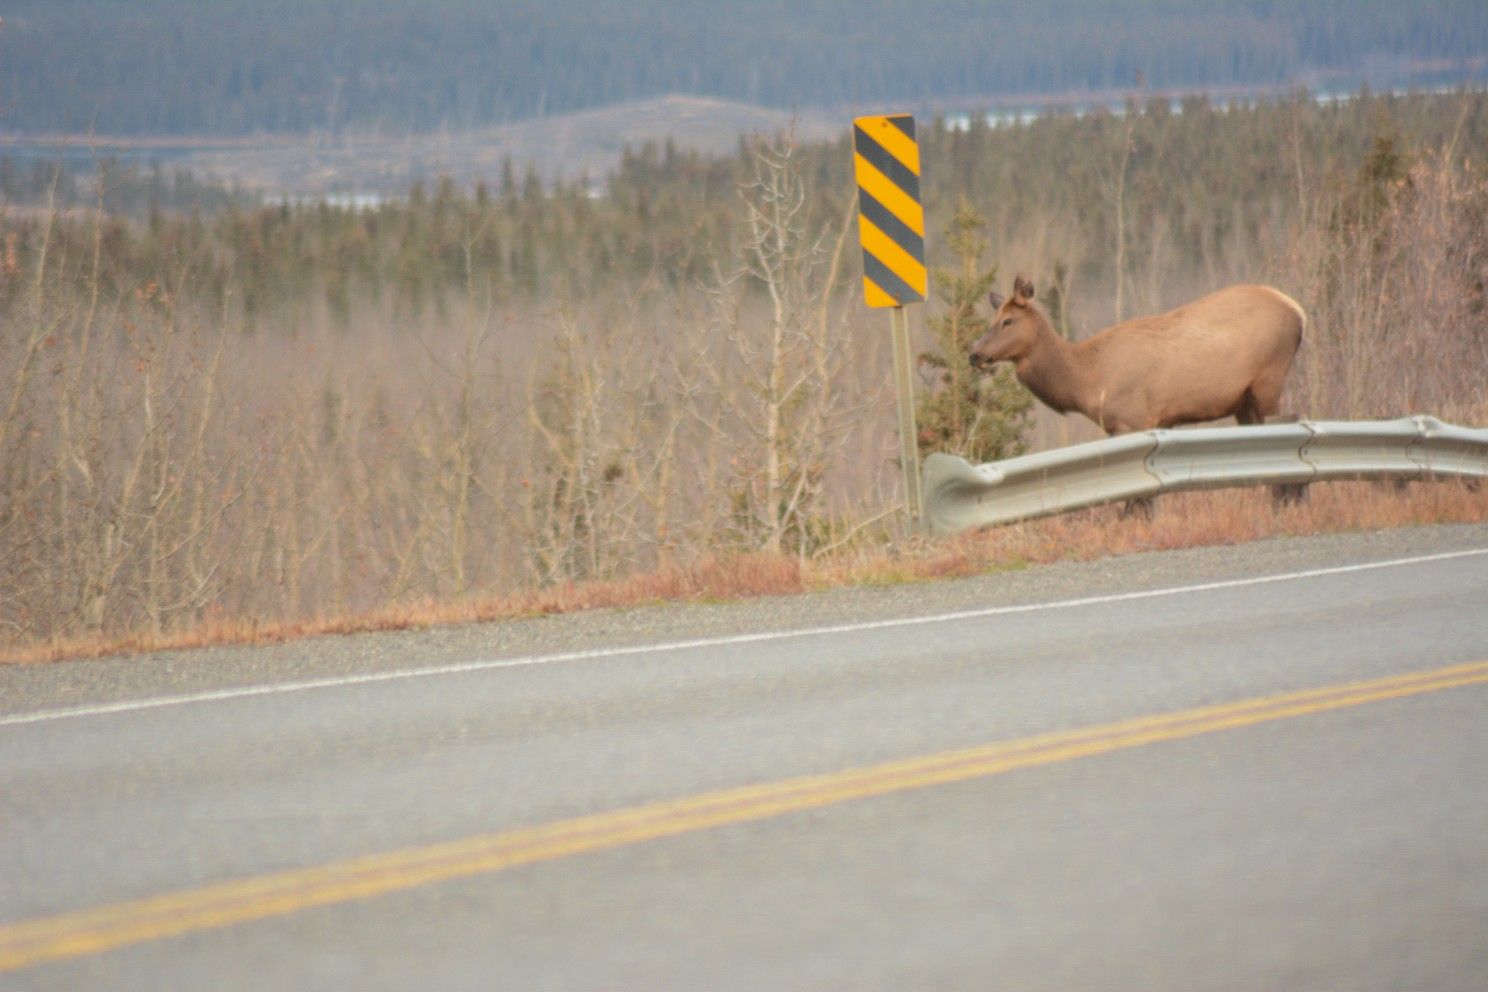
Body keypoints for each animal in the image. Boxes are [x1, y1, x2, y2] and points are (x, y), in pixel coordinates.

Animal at [964, 278, 1303, 437]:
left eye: (1008, 321)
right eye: (993, 318)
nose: (974, 353)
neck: (1087, 382)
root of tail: (1299, 311)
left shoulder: (1134, 418)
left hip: (1269, 379)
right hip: (1243, 400)